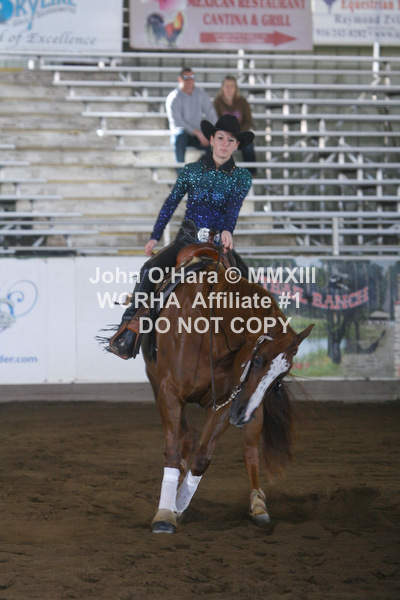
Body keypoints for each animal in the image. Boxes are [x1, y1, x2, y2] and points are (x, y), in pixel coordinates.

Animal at [140, 247, 313, 533]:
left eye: (281, 376)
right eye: (258, 359)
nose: (243, 415)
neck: (209, 329)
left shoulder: (225, 403)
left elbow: (201, 459)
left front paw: (178, 505)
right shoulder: (169, 392)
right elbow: (174, 451)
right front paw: (165, 514)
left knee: (250, 452)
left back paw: (258, 504)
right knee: (187, 437)